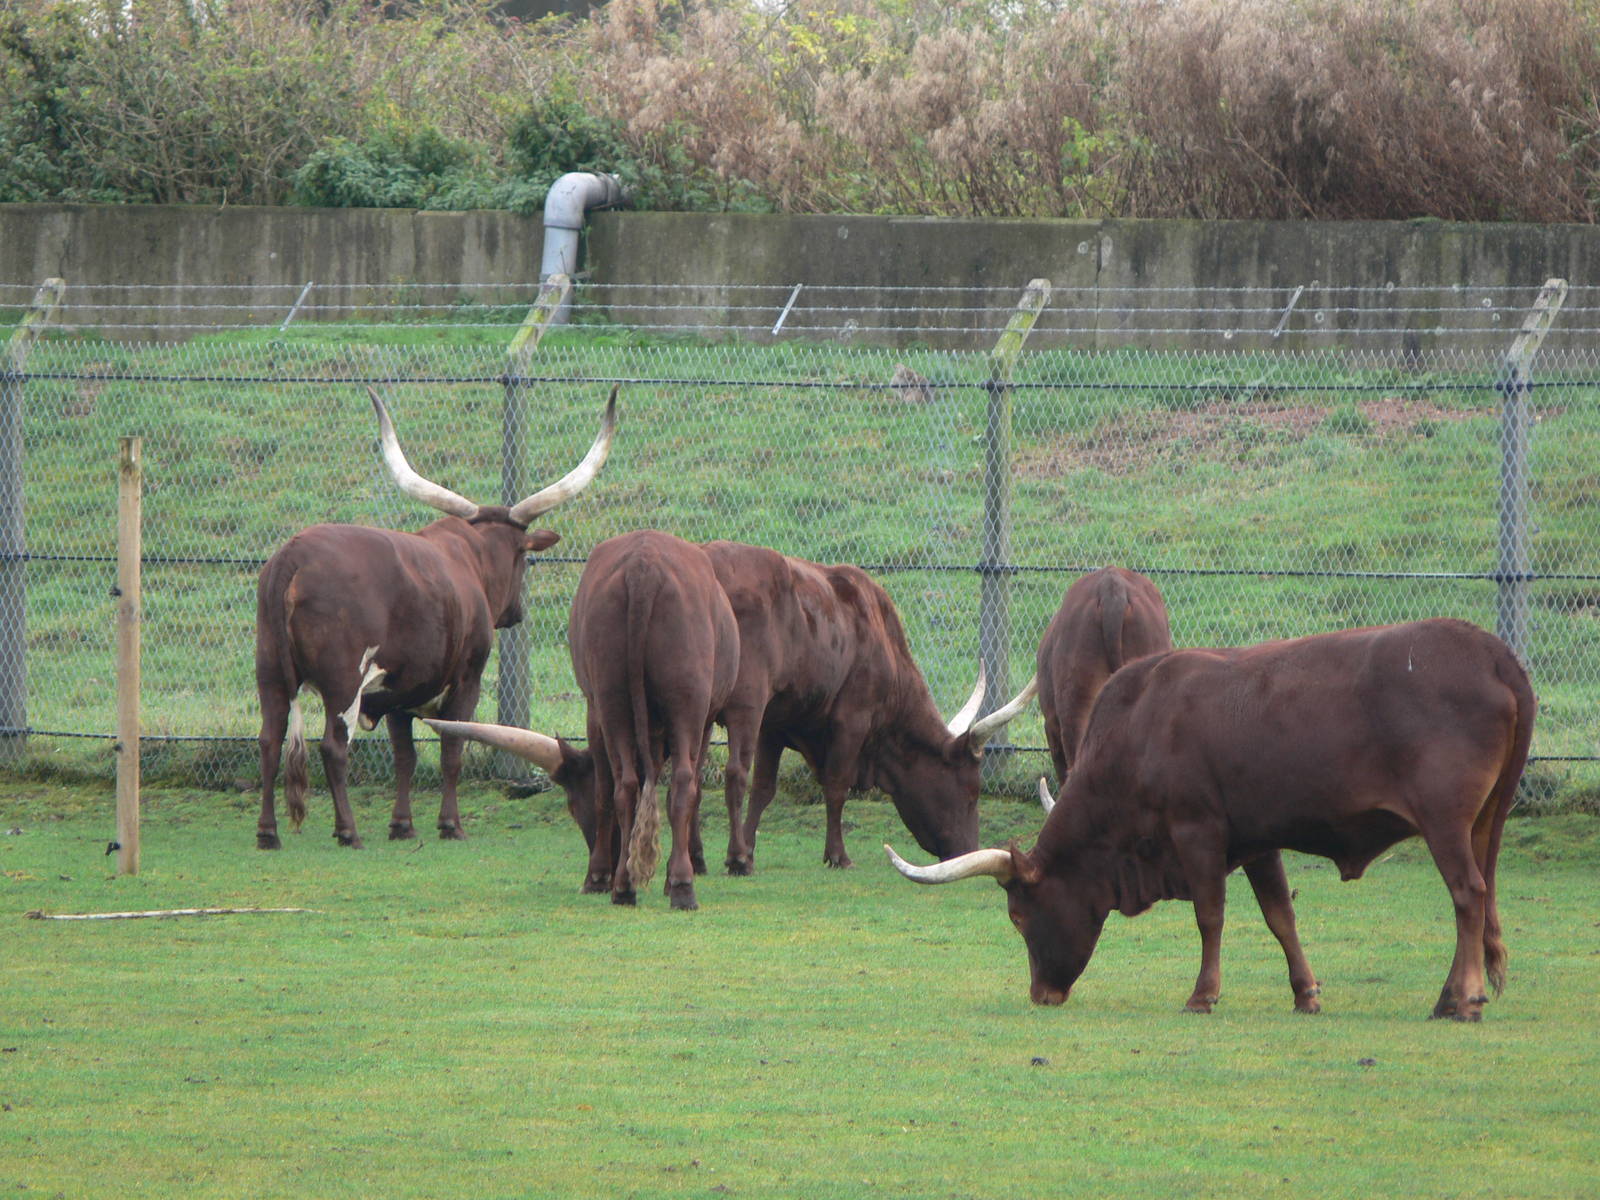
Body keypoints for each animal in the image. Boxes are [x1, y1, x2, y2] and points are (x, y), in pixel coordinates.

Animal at [253, 387, 617, 850]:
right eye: (524, 557)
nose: (516, 613)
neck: (470, 557)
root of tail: (291, 557)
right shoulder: (465, 681)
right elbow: (452, 750)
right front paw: (450, 824)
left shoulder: (399, 693)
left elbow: (405, 757)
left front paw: (402, 825)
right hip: (344, 682)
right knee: (333, 747)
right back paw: (348, 830)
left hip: (270, 674)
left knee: (269, 740)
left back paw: (268, 833)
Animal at [429, 529, 739, 909]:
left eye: (572, 807)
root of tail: (644, 567)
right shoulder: (690, 720)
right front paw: (610, 876)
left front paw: (608, 875)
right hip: (670, 705)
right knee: (665, 785)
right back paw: (665, 885)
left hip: (621, 700)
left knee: (634, 785)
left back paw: (634, 885)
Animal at [703, 540, 1035, 874]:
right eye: (971, 792)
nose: (968, 852)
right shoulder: (851, 722)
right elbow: (836, 786)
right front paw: (837, 855)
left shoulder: (773, 726)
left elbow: (763, 788)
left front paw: (749, 848)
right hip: (743, 706)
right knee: (733, 772)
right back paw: (731, 857)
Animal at [887, 619, 1536, 1021]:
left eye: (1019, 917)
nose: (1040, 995)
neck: (1139, 731)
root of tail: (1493, 653)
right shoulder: (1259, 840)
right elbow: (1280, 916)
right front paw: (1305, 993)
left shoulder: (1197, 831)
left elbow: (1210, 915)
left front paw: (1203, 994)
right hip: (1483, 822)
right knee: (1483, 892)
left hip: (1445, 821)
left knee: (1468, 894)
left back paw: (1460, 999)